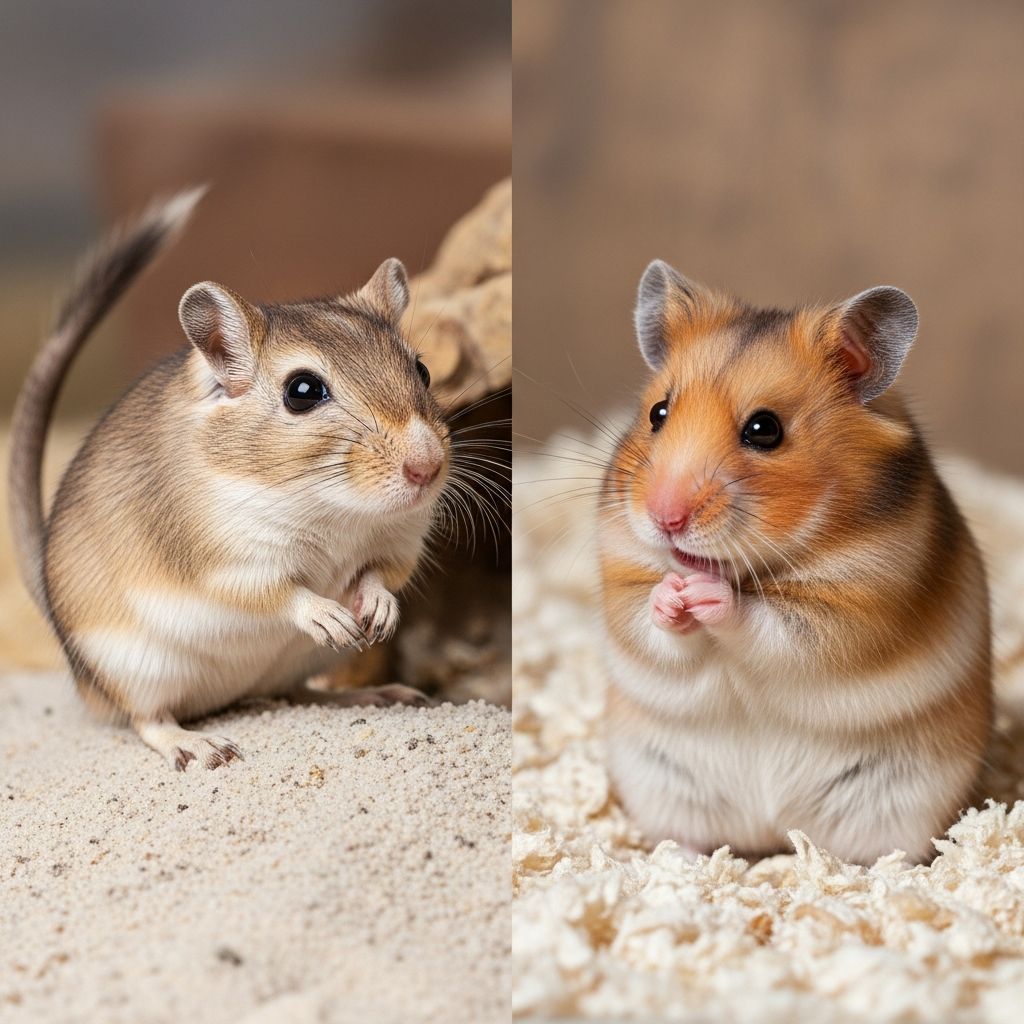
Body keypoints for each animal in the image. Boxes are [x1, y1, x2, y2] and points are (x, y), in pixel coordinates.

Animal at [8, 189, 451, 770]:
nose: (428, 469)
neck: (331, 504)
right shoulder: (232, 563)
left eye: (422, 370)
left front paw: (375, 614)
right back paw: (200, 746)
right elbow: (284, 592)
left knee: (296, 692)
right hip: (138, 668)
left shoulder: (398, 544)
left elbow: (377, 574)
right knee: (147, 719)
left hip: (291, 665)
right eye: (302, 391)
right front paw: (334, 619)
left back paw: (375, 695)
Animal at [599, 259, 991, 864]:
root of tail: (772, 833)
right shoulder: (620, 573)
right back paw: (677, 861)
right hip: (660, 782)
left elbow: (769, 624)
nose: (664, 517)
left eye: (765, 430)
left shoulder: (859, 604)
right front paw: (673, 595)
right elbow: (647, 619)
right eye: (658, 414)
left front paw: (706, 595)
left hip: (900, 799)